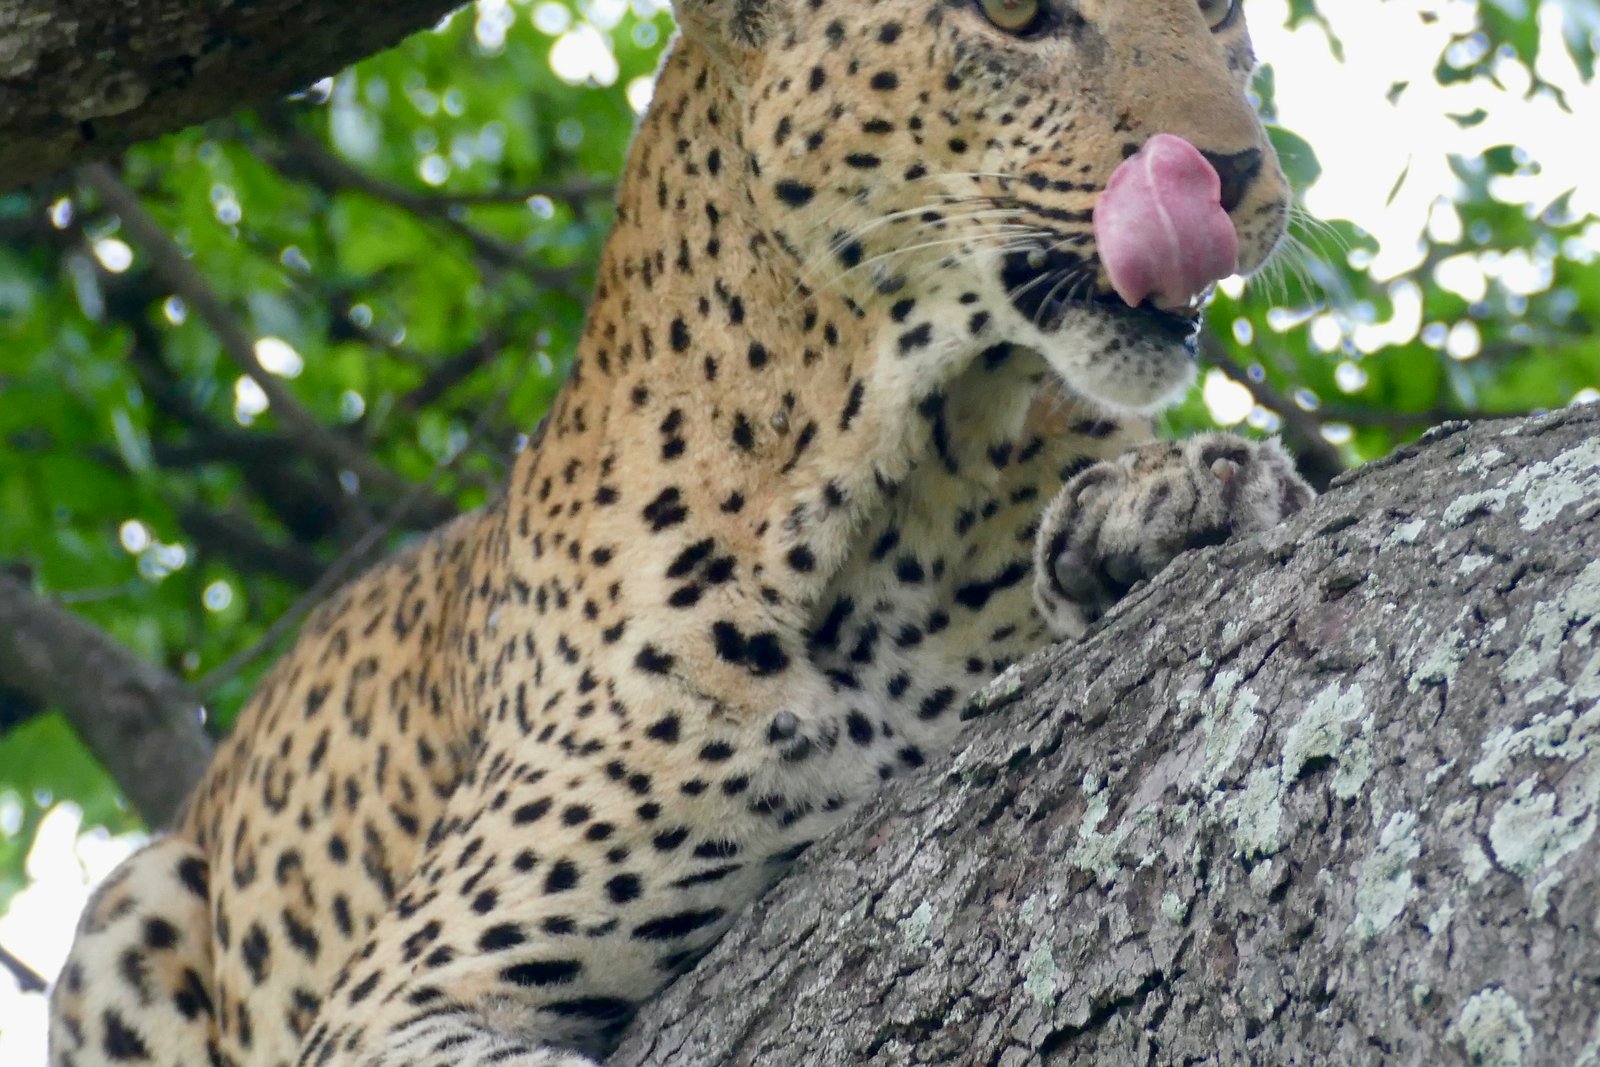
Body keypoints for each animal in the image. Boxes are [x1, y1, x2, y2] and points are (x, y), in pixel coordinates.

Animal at [48, 1, 1315, 1064]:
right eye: (1011, 16)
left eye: (1219, 11)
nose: (1234, 172)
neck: (907, 490)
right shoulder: (398, 1000)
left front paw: (1162, 505)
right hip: (133, 903)